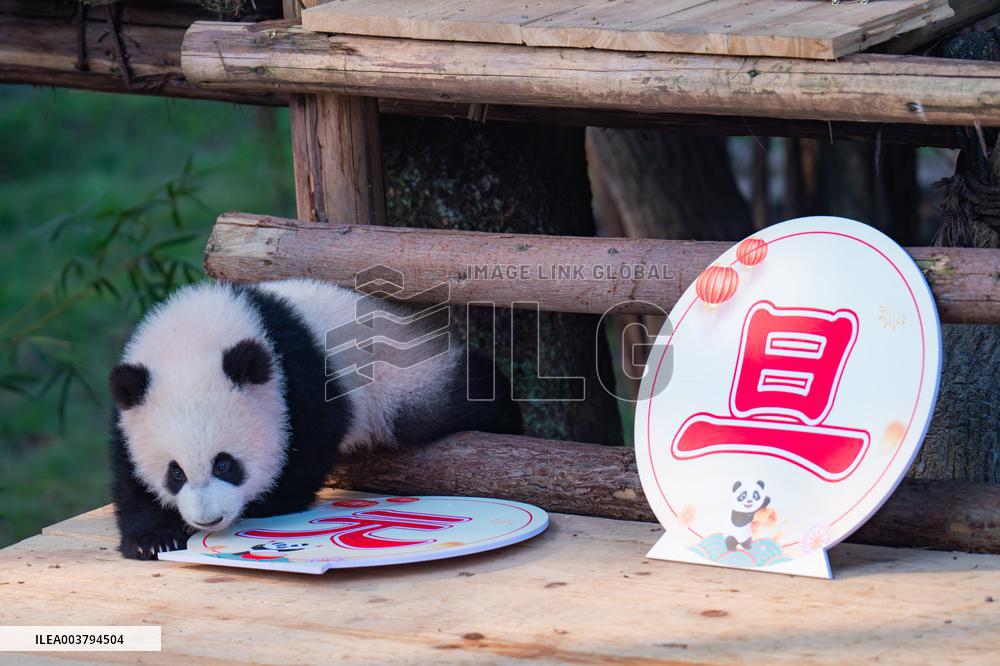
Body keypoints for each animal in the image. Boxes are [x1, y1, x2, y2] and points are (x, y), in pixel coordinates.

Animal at [108, 279, 522, 560]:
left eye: (225, 464)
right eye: (175, 473)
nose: (208, 520)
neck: (195, 335)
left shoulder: (298, 372)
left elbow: (310, 444)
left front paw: (266, 504)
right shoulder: (129, 401)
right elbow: (128, 474)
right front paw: (153, 539)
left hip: (409, 376)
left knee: (463, 395)